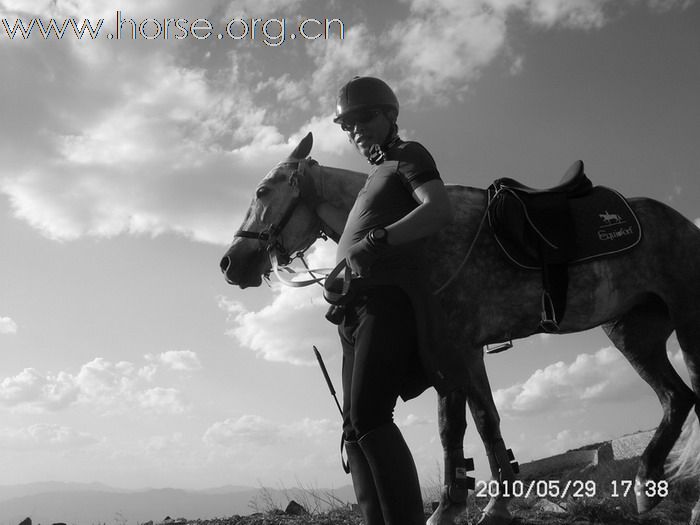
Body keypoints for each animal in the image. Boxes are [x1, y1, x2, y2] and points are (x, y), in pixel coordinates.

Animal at [219, 132, 700, 524]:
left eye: (262, 190)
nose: (229, 262)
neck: (415, 241)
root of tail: (682, 222)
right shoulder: (463, 353)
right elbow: (485, 422)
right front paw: (495, 505)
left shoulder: (449, 350)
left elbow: (455, 427)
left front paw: (450, 509)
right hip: (631, 333)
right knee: (676, 398)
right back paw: (645, 487)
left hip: (688, 323)